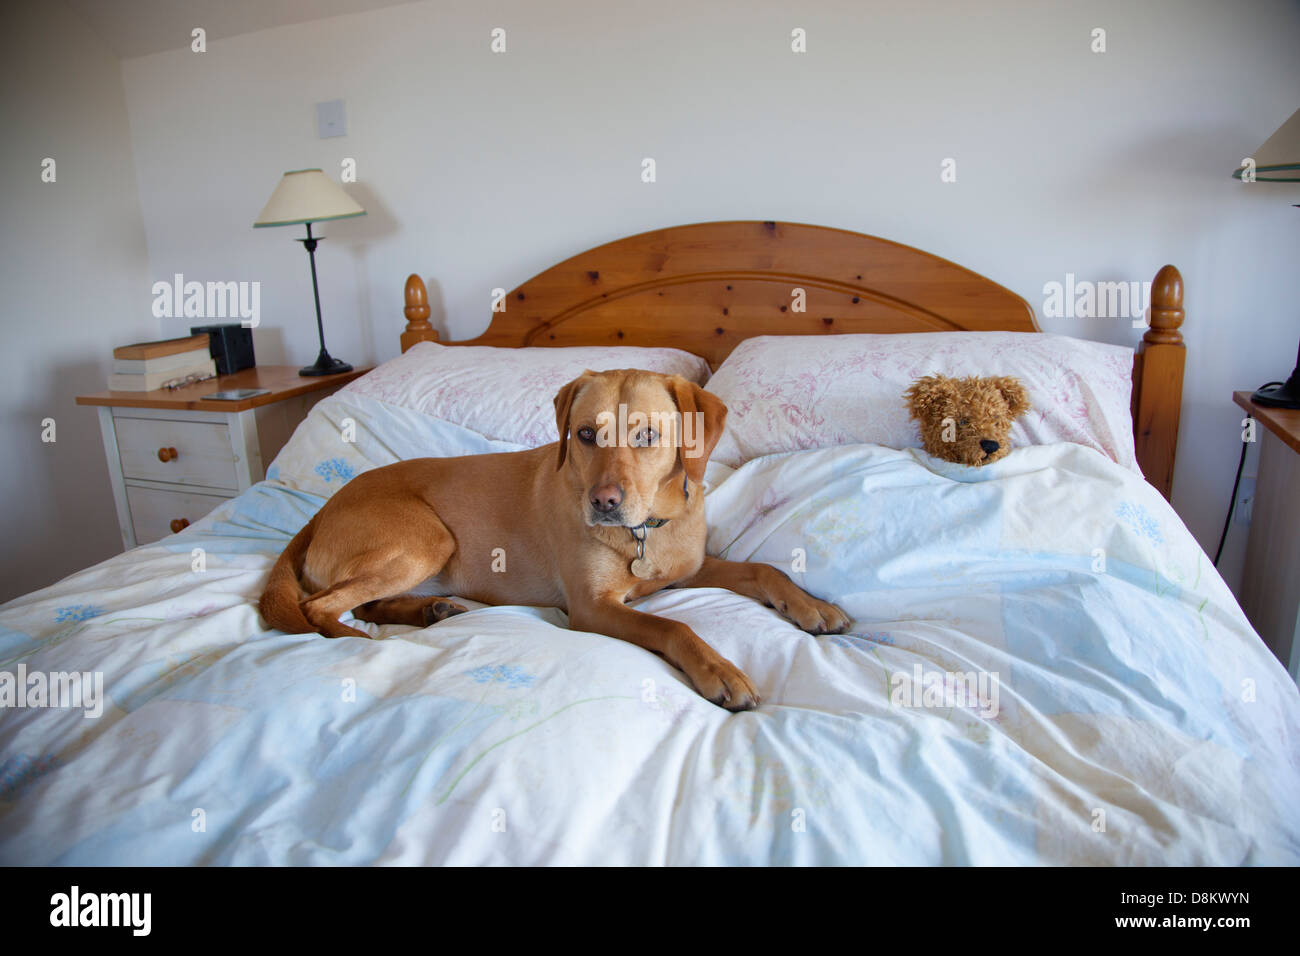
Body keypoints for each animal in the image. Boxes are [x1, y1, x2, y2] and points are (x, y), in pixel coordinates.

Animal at [263, 366, 852, 712]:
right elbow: (676, 627)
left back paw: (431, 610)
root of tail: (320, 512)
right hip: (426, 541)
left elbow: (762, 569)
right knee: (320, 607)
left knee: (367, 602)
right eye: (586, 434)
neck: (644, 532)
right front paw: (720, 670)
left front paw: (812, 606)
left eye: (647, 435)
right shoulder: (593, 608)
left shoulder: (689, 567)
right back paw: (362, 642)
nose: (604, 502)